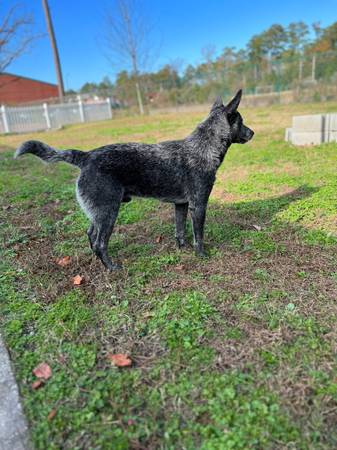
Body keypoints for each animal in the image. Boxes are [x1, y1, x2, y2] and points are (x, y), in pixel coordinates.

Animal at [14, 89, 253, 268]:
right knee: (100, 242)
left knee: (90, 234)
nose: (253, 133)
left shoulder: (181, 205)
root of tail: (86, 156)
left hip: (99, 212)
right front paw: (201, 255)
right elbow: (198, 236)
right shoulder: (199, 205)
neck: (202, 147)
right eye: (241, 121)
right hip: (109, 212)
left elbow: (180, 231)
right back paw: (111, 267)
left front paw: (182, 249)